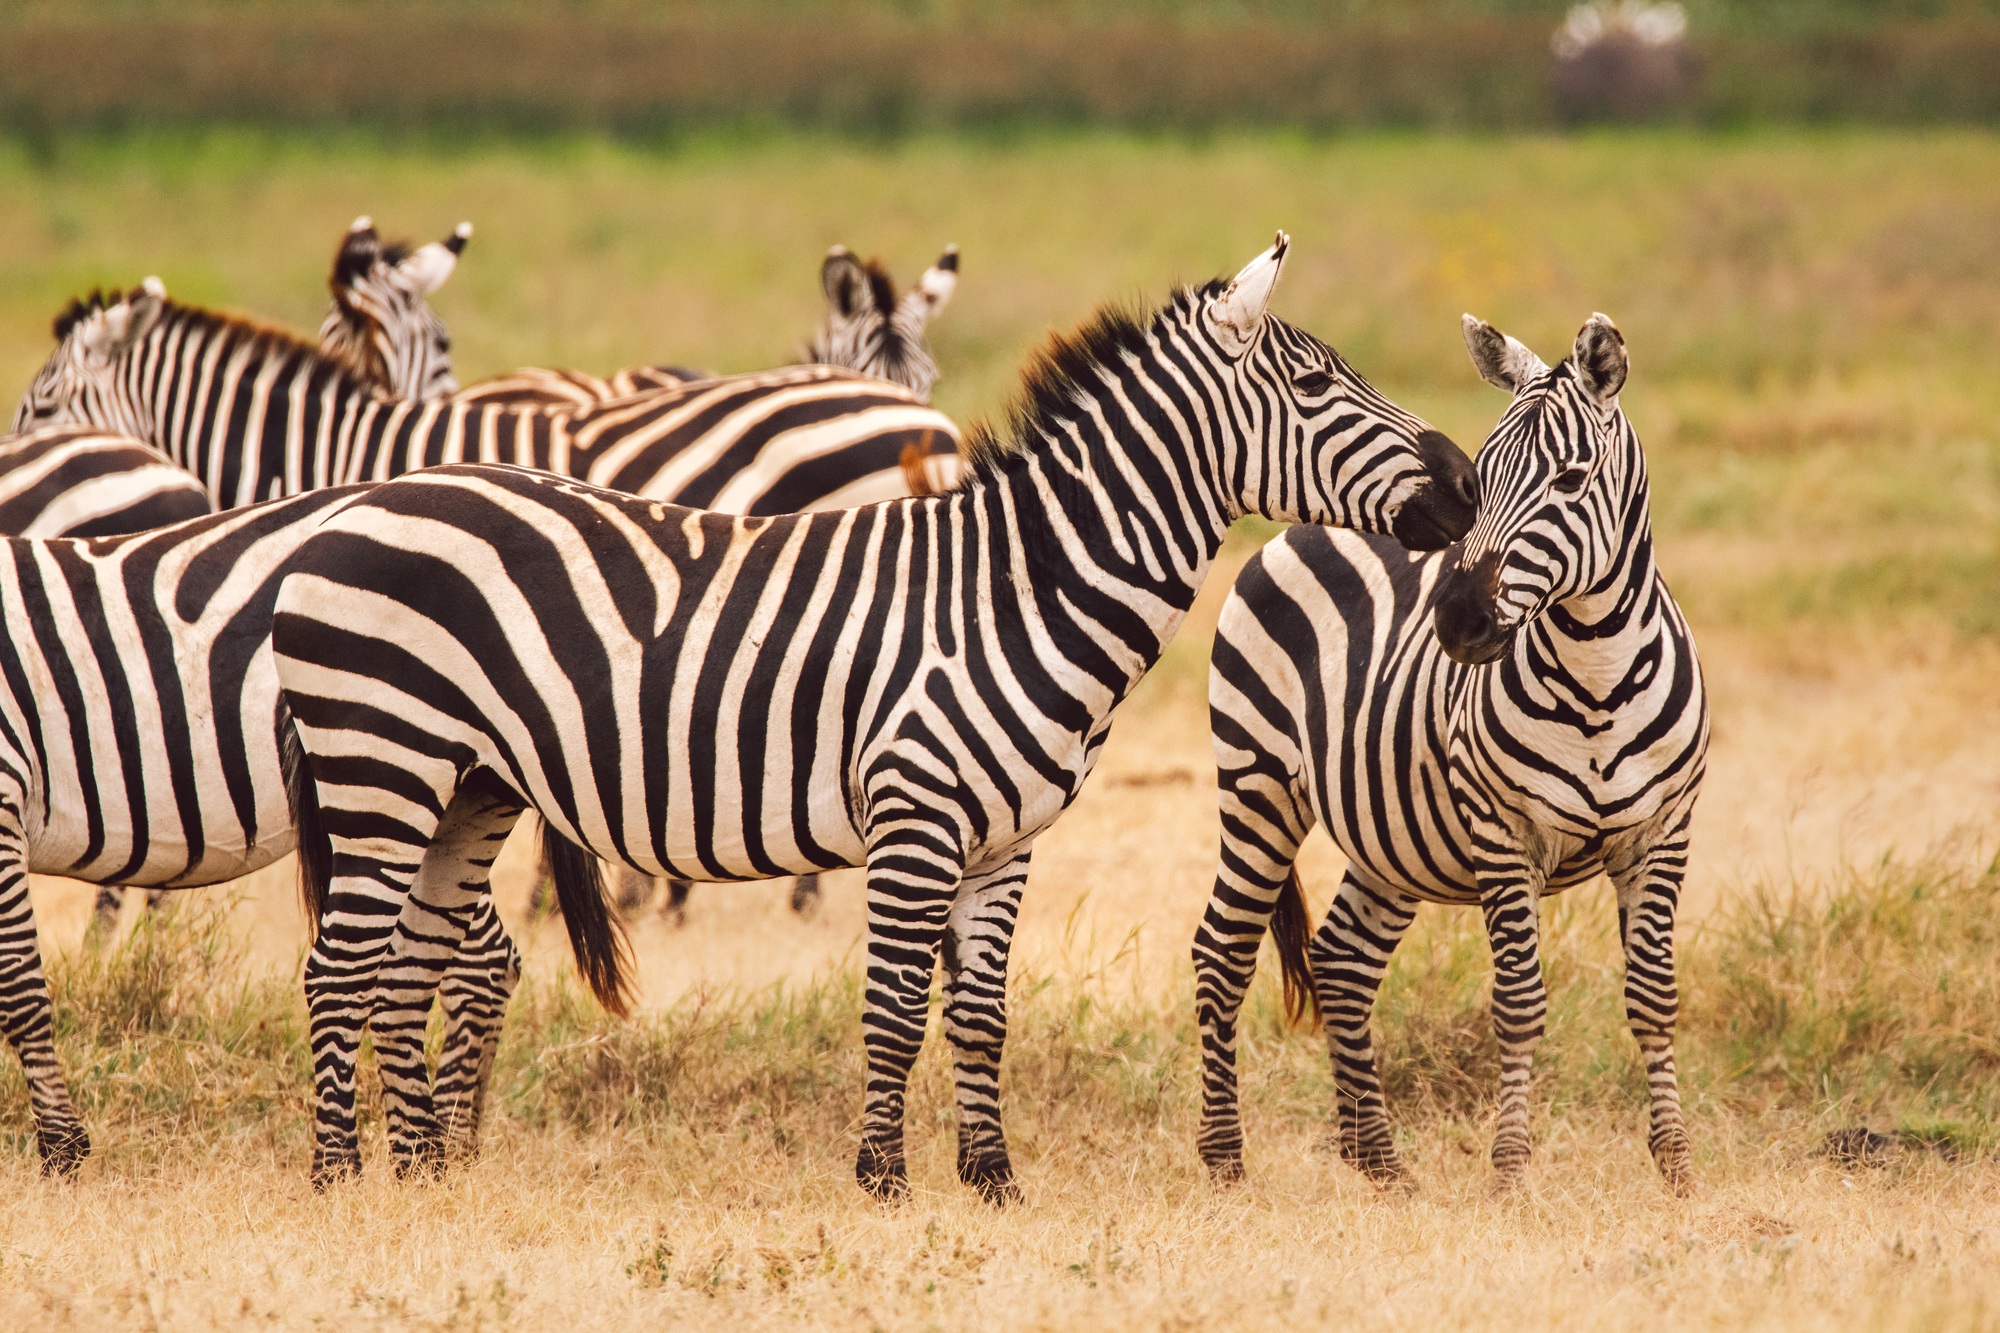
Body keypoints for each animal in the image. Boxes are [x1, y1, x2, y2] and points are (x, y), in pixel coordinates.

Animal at [0, 488, 612, 1175]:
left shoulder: (4, 792)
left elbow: (20, 989)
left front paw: (62, 1147)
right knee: (477, 959)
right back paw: (454, 1143)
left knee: (476, 962)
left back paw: (445, 1144)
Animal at [268, 234, 1481, 1197]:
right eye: (1317, 384)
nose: (1468, 485)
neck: (1015, 592)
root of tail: (348, 510)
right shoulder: (915, 817)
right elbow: (896, 1003)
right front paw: (884, 1178)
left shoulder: (1006, 841)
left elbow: (980, 1012)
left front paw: (993, 1180)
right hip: (381, 763)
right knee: (340, 968)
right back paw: (338, 1176)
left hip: (464, 787)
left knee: (409, 967)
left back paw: (421, 1171)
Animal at [1190, 313, 1706, 1195]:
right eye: (1484, 477)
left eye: (1571, 479)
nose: (1459, 619)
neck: (1599, 676)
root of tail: (1314, 520)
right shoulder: (1504, 834)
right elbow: (1520, 1004)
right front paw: (1511, 1170)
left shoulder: (1662, 834)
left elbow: (1653, 997)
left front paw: (1674, 1162)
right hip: (1258, 784)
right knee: (1221, 953)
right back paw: (1225, 1157)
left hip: (1392, 836)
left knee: (1343, 959)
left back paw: (1375, 1158)